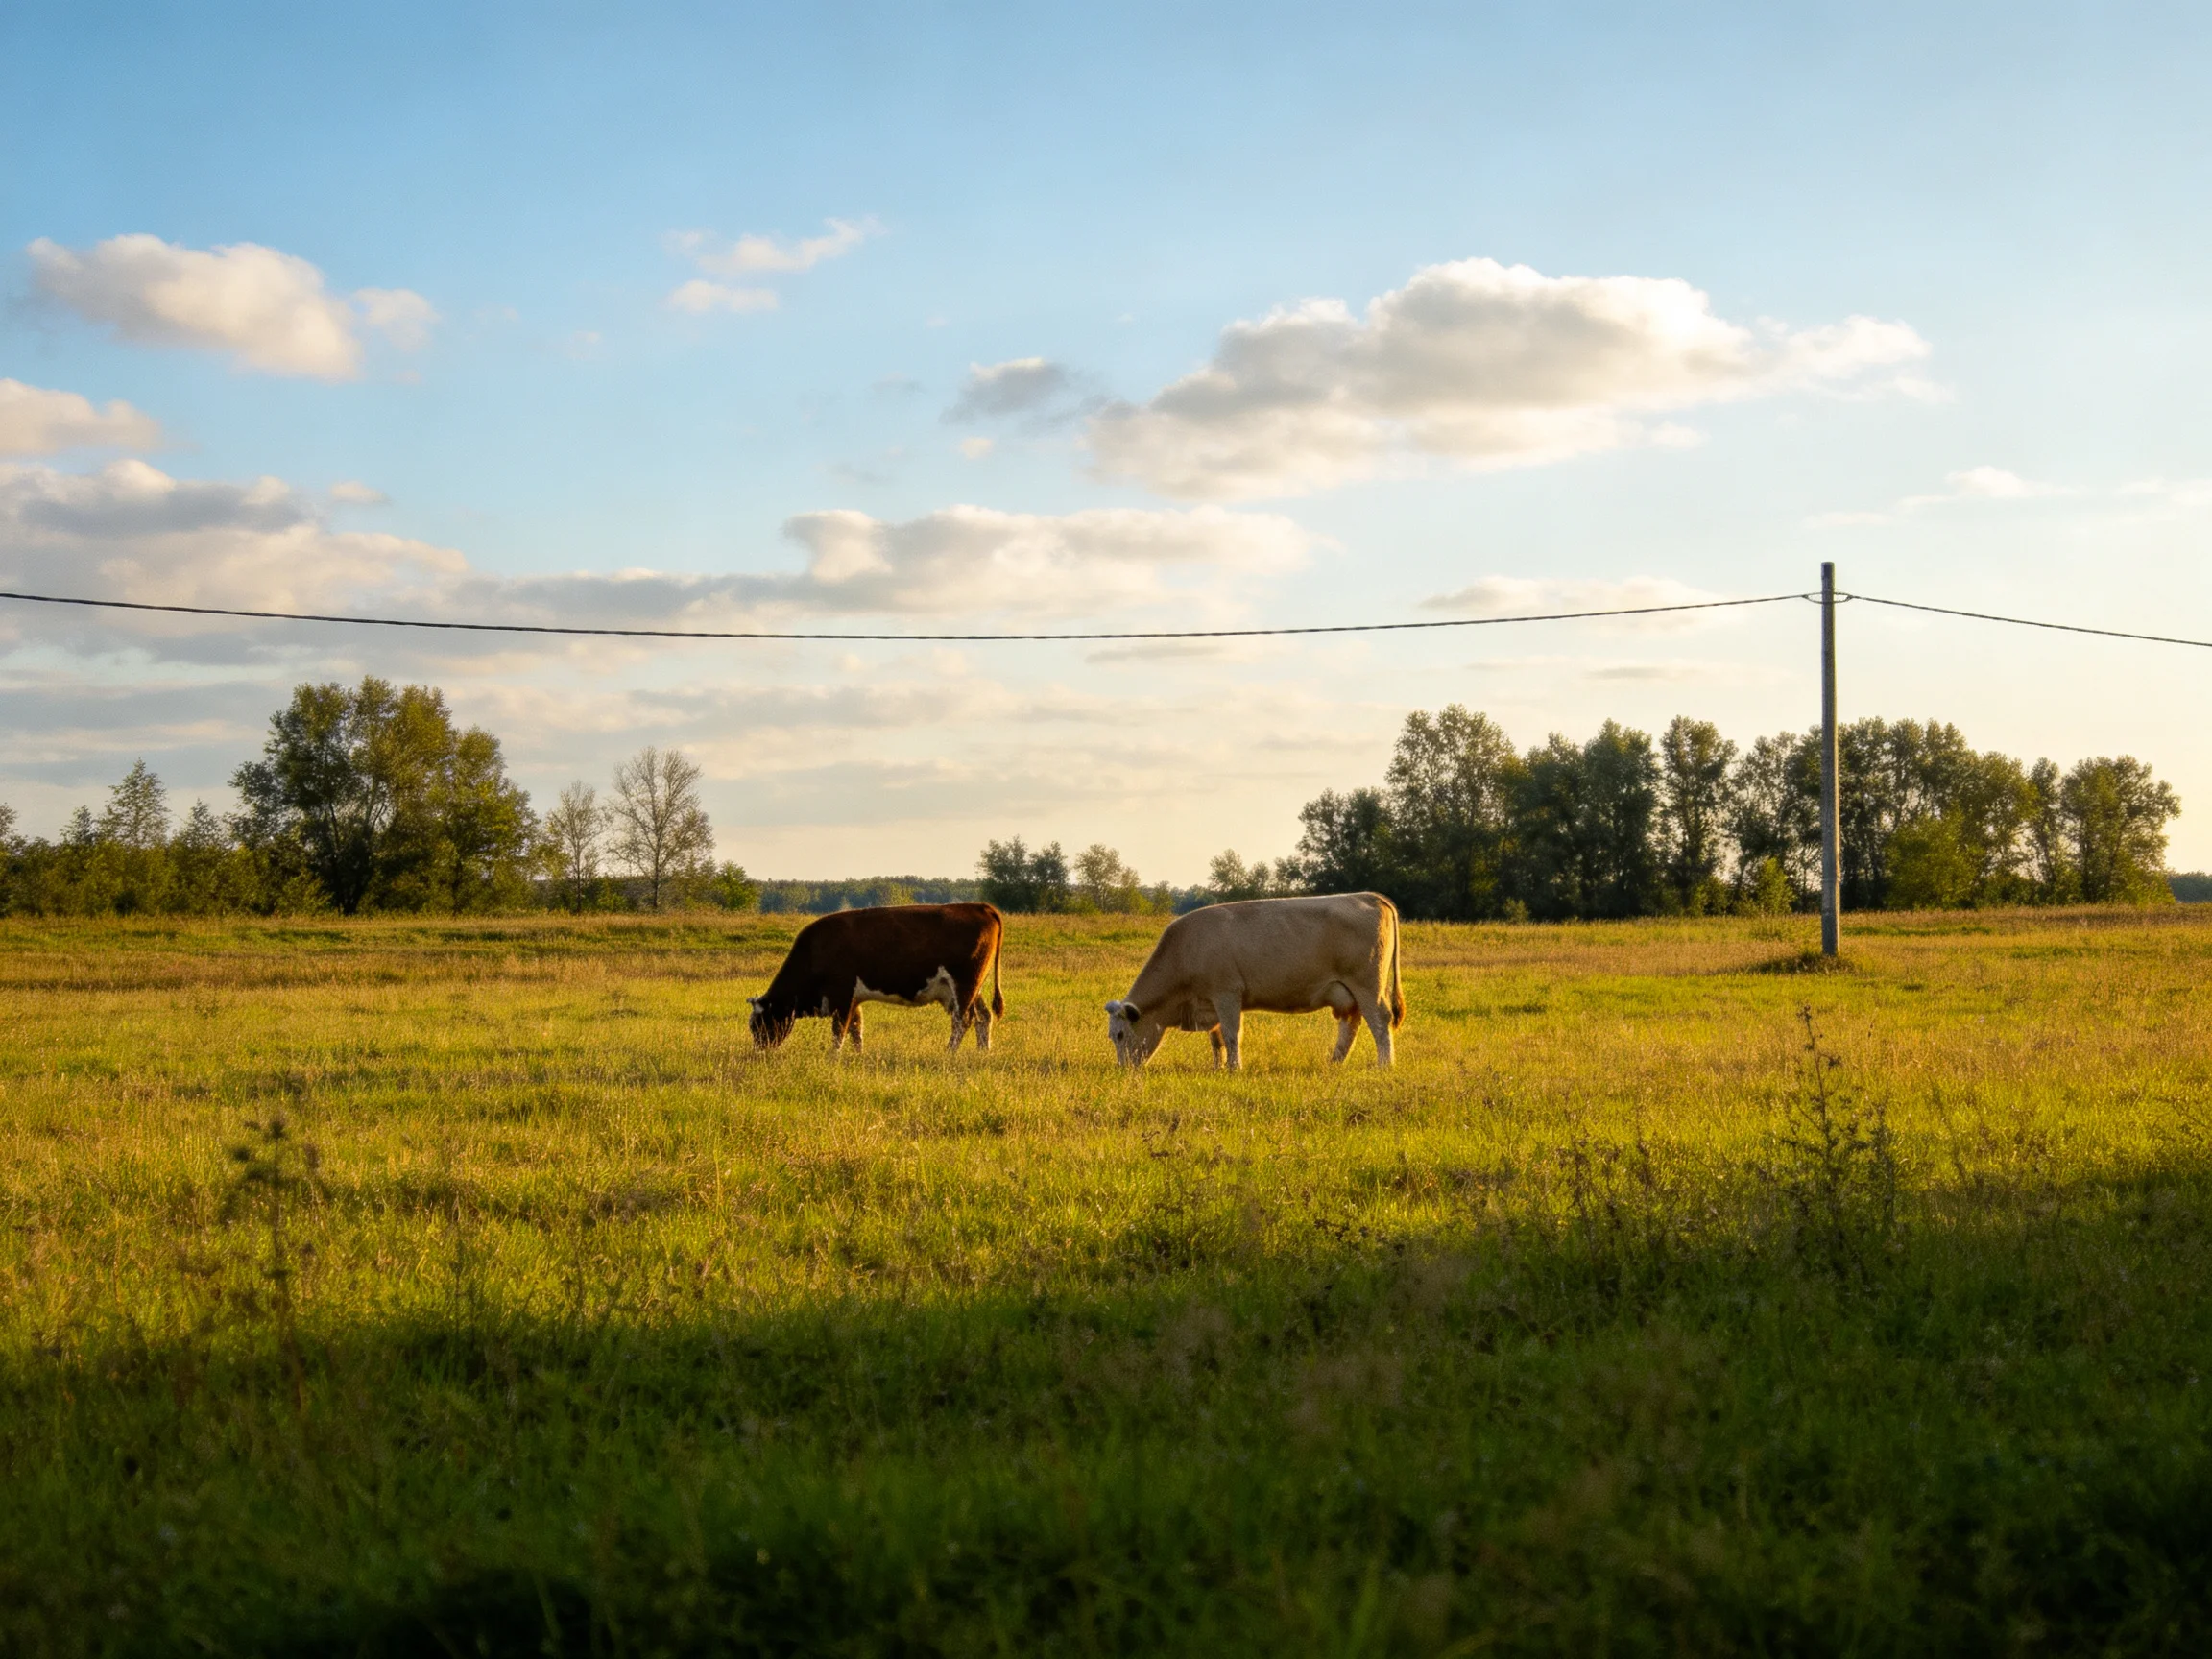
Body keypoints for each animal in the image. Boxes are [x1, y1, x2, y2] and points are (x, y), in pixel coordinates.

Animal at [749, 903, 1006, 1054]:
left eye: (757, 1025)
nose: (760, 1053)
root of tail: (979, 907)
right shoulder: (853, 1000)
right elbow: (856, 1029)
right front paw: (858, 1057)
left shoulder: (842, 995)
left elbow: (839, 1030)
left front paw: (833, 1058)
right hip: (974, 988)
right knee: (983, 1017)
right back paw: (983, 1053)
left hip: (964, 984)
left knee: (963, 1020)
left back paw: (949, 1053)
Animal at [1103, 892, 1404, 1071]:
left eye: (1120, 1035)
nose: (1123, 1070)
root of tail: (1368, 896)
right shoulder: (1210, 1002)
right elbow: (1216, 1039)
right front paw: (1217, 1067)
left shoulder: (1227, 994)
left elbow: (1231, 1034)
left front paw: (1234, 1068)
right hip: (1347, 993)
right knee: (1350, 1023)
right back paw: (1334, 1061)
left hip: (1368, 986)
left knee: (1380, 1021)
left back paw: (1384, 1065)